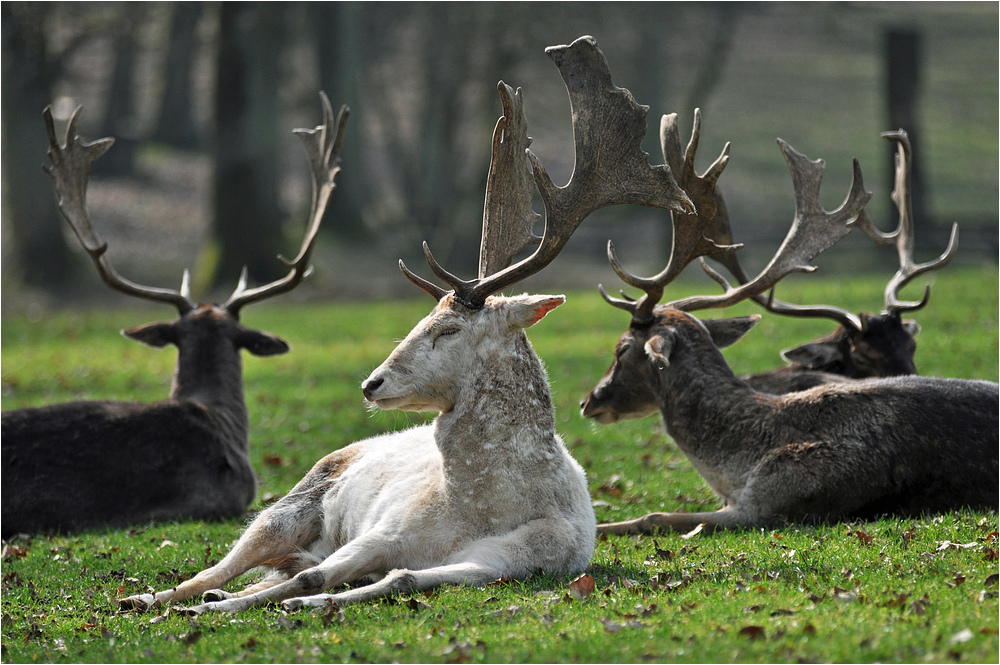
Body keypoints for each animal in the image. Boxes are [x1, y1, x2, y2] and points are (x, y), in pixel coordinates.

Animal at [117, 35, 692, 616]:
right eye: (423, 320)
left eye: (448, 330)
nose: (371, 383)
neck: (479, 511)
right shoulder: (387, 528)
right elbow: (319, 574)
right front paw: (207, 609)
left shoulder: (511, 559)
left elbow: (396, 578)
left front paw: (300, 604)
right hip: (291, 504)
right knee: (227, 564)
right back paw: (154, 597)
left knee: (280, 570)